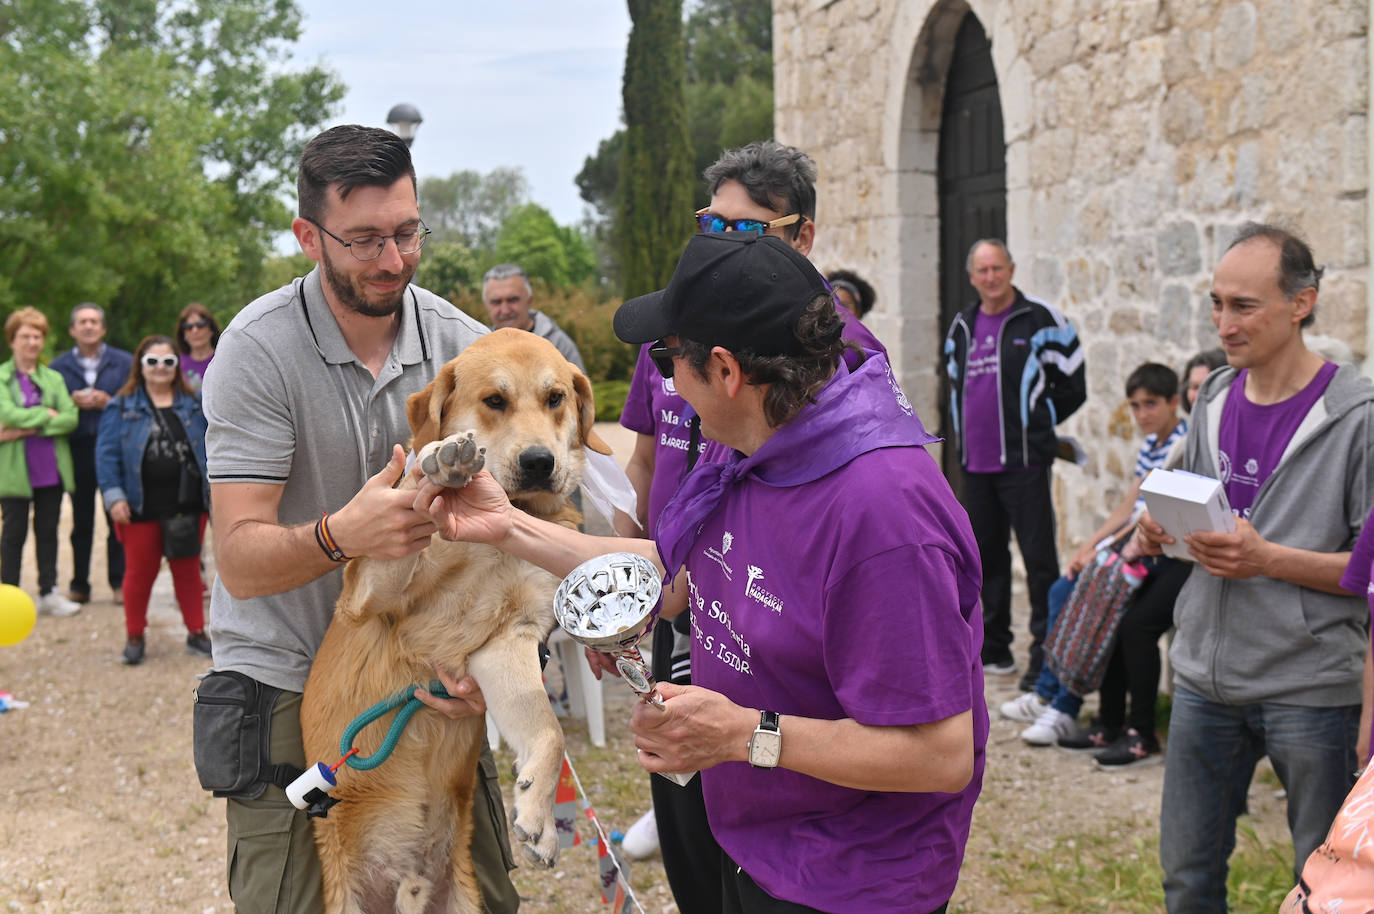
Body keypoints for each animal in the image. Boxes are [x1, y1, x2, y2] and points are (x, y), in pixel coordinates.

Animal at [303, 328, 610, 912]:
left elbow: (549, 728)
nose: (540, 462)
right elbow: (411, 498)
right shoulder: (371, 593)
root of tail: (404, 884)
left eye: (555, 398)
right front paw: (439, 461)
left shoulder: (507, 641)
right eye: (494, 400)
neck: (502, 531)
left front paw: (538, 813)